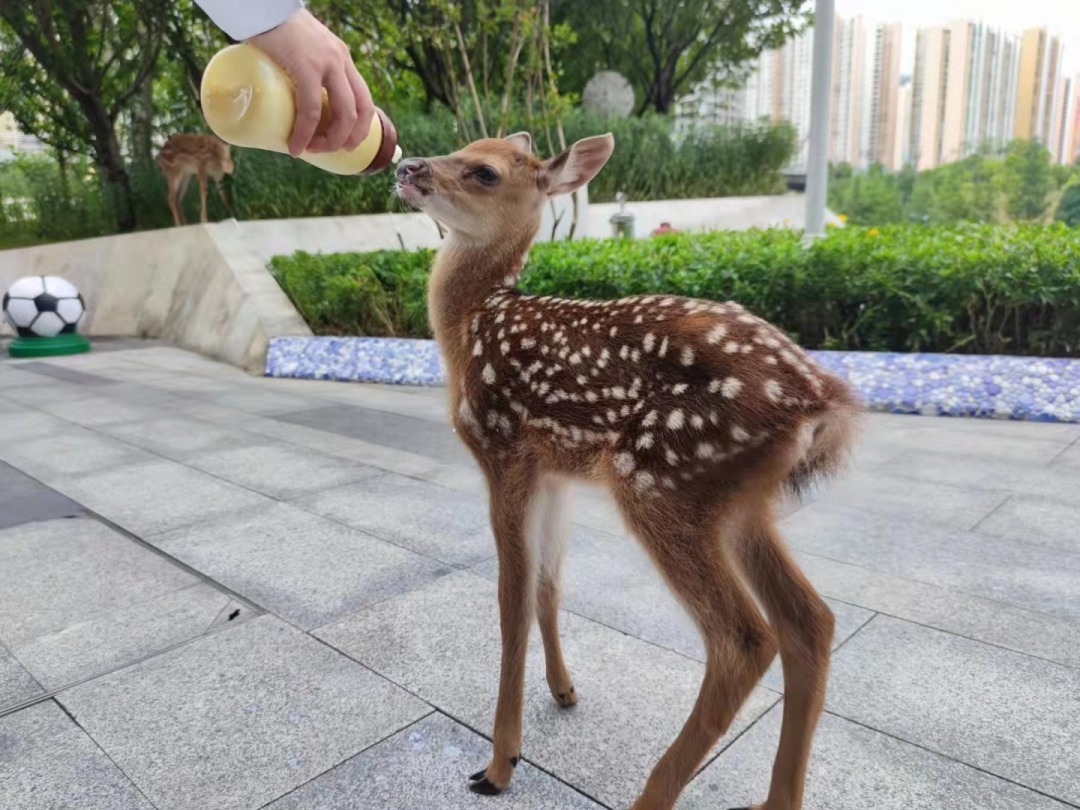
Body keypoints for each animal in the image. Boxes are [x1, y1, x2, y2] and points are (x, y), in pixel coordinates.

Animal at [395, 135, 859, 810]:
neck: (473, 323)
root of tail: (819, 398)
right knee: (811, 622)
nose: (406, 166)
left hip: (658, 480)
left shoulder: (502, 448)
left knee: (746, 638)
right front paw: (563, 691)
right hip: (738, 501)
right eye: (463, 145)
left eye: (484, 170)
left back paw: (651, 795)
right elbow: (548, 585)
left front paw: (500, 764)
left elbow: (511, 599)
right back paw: (774, 802)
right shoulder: (556, 470)